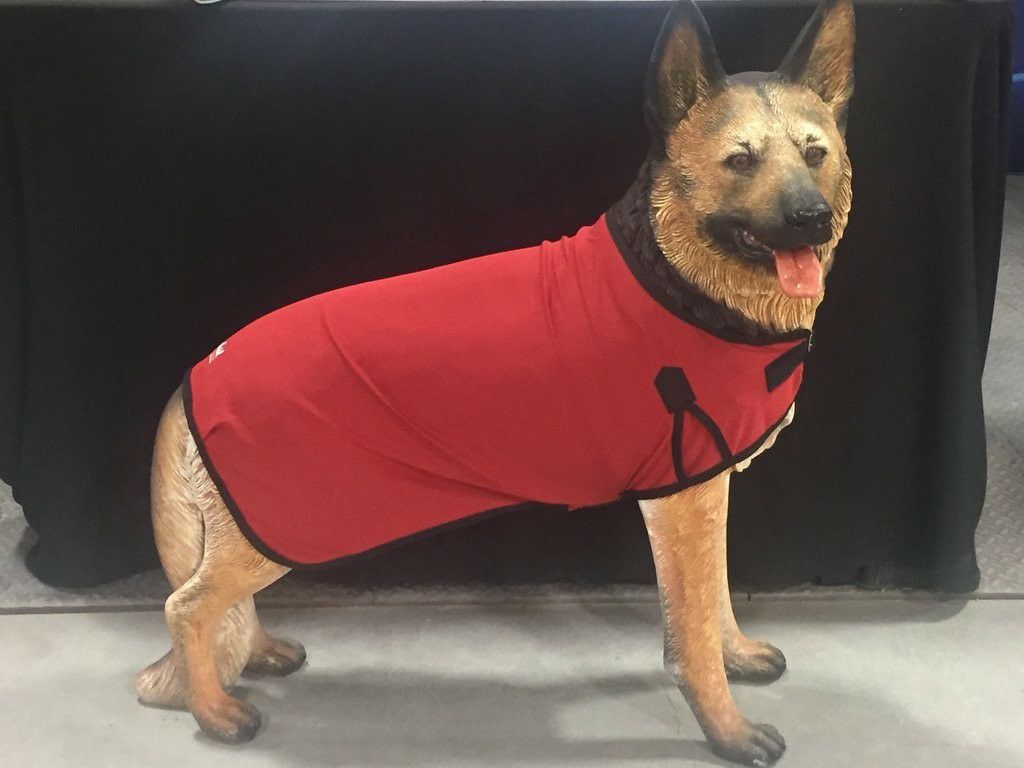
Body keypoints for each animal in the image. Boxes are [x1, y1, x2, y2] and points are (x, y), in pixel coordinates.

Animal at [136, 2, 854, 765]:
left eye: (815, 154)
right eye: (740, 162)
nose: (812, 219)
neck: (680, 281)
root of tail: (198, 370)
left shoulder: (705, 492)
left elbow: (715, 595)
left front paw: (737, 657)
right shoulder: (683, 501)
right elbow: (692, 630)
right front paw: (727, 727)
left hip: (257, 536)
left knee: (215, 601)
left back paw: (259, 651)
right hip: (278, 530)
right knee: (187, 605)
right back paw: (214, 712)